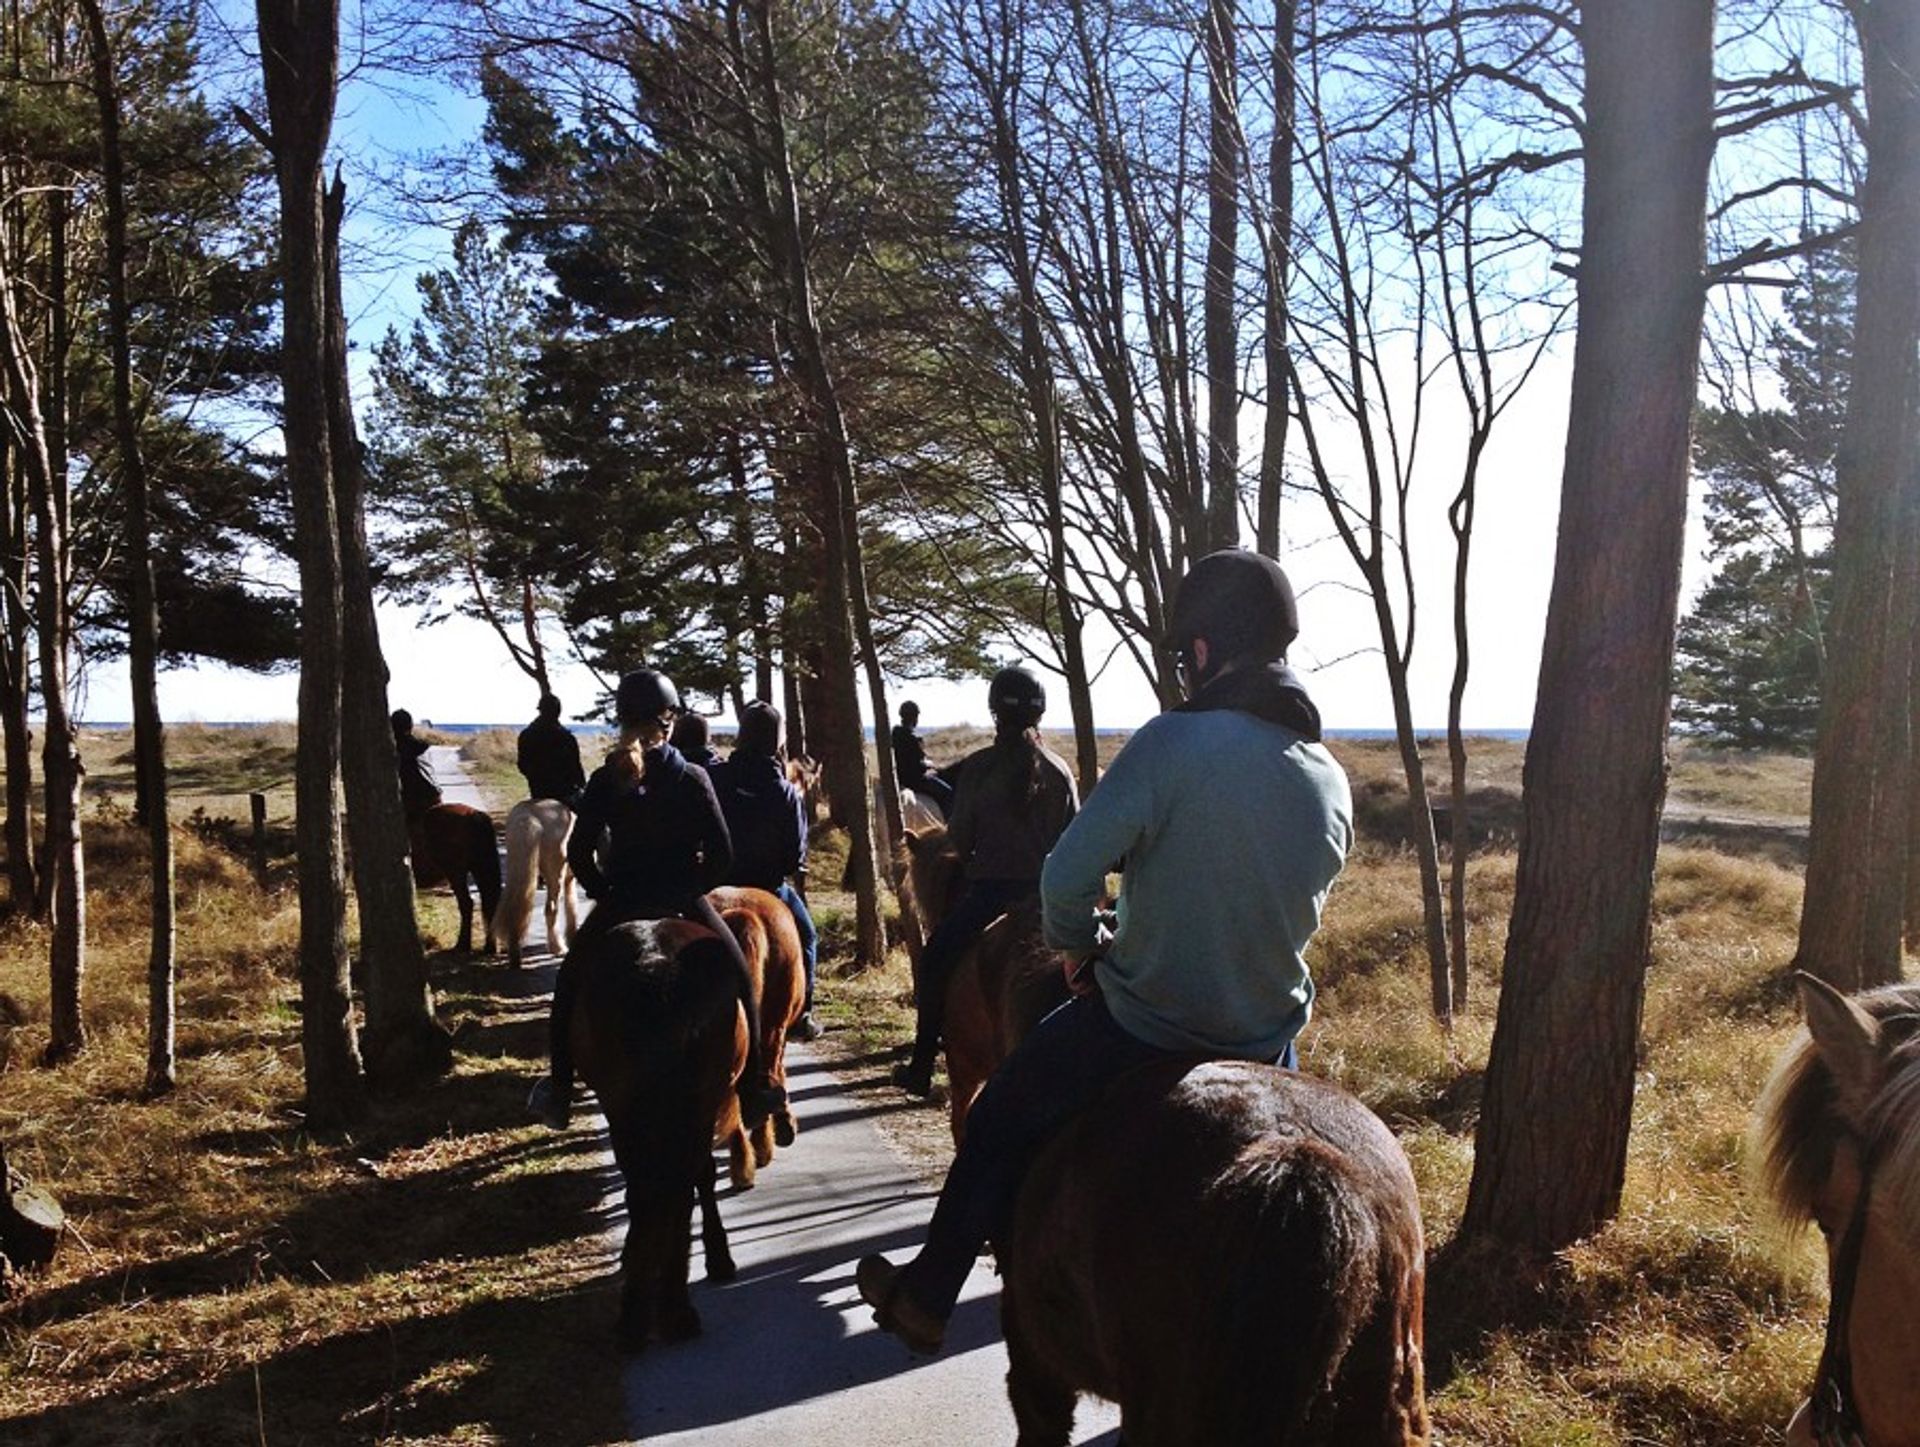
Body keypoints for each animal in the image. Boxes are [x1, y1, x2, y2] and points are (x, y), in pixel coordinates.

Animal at [407, 794, 503, 951]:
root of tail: (474, 815)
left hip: (455, 871)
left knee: (467, 903)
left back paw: (462, 945)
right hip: (478, 867)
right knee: (488, 901)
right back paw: (489, 946)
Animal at [495, 794, 576, 963]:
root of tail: (528, 815)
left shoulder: (570, 879)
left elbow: (571, 906)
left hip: (516, 866)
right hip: (555, 874)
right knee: (551, 908)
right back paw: (558, 948)